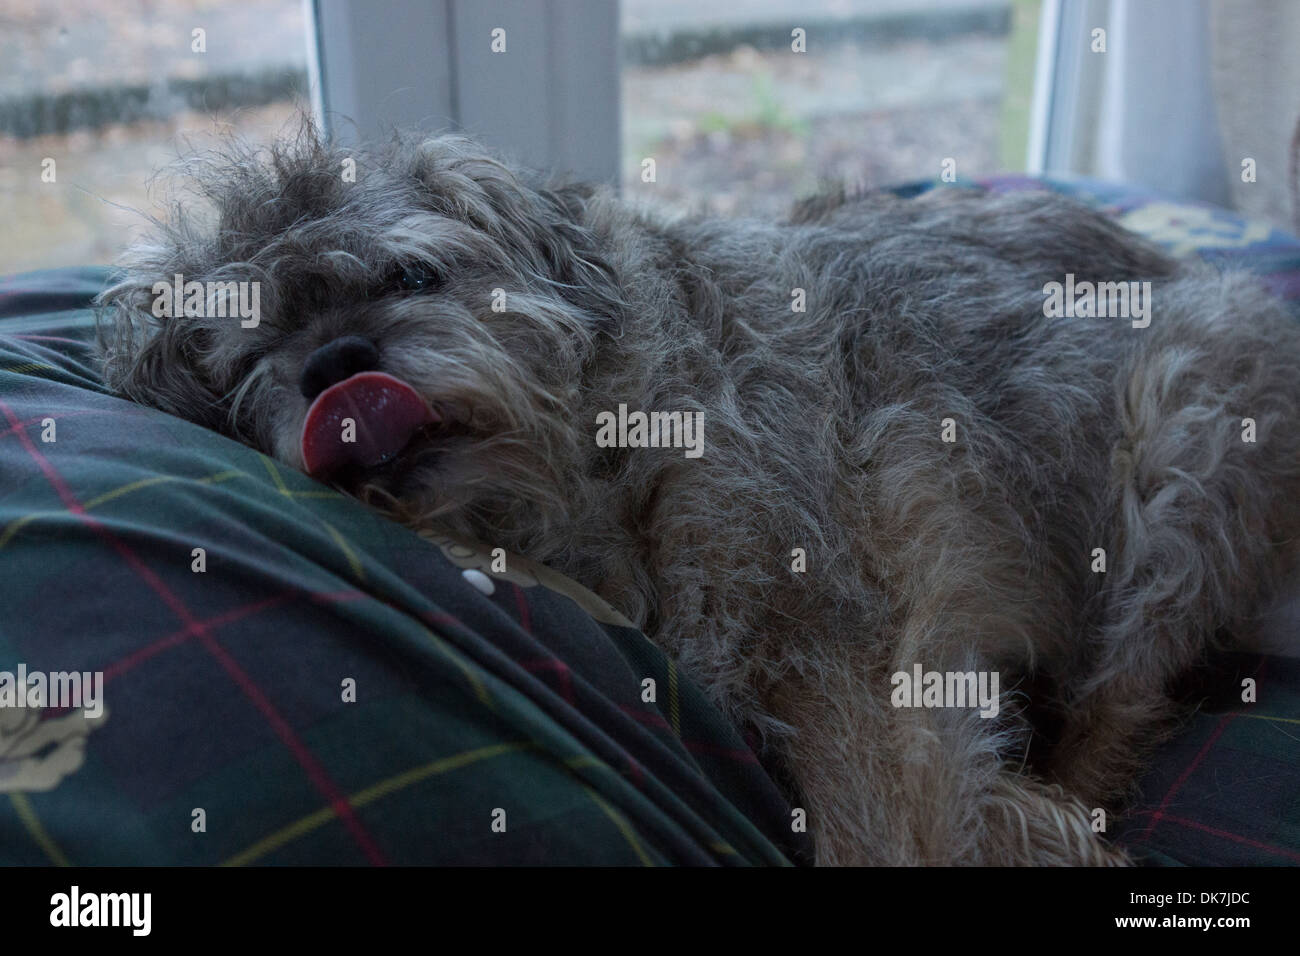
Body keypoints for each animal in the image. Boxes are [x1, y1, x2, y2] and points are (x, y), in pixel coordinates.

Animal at [96, 127, 1300, 868]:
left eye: (412, 276)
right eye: (256, 346)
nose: (336, 363)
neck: (609, 455)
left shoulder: (847, 654)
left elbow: (892, 823)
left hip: (1188, 410)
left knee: (1123, 700)